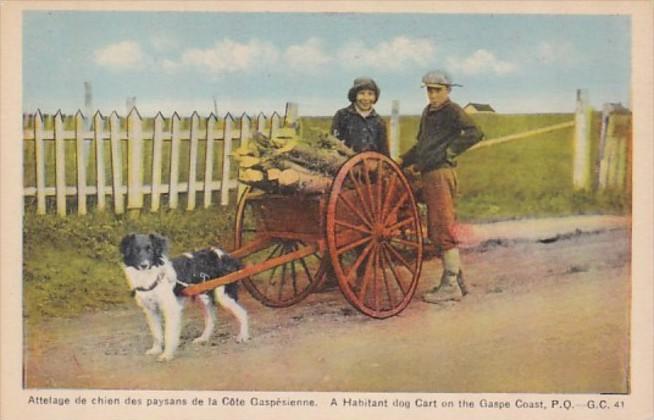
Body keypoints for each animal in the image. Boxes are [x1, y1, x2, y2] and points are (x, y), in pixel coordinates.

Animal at [119, 233, 250, 360]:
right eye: (135, 250)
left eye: (150, 249)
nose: (144, 265)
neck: (149, 276)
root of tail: (225, 255)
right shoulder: (150, 310)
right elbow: (156, 333)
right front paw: (156, 350)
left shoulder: (171, 309)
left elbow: (169, 334)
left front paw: (167, 354)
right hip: (204, 297)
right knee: (211, 319)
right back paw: (203, 338)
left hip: (224, 295)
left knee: (242, 313)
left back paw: (243, 336)